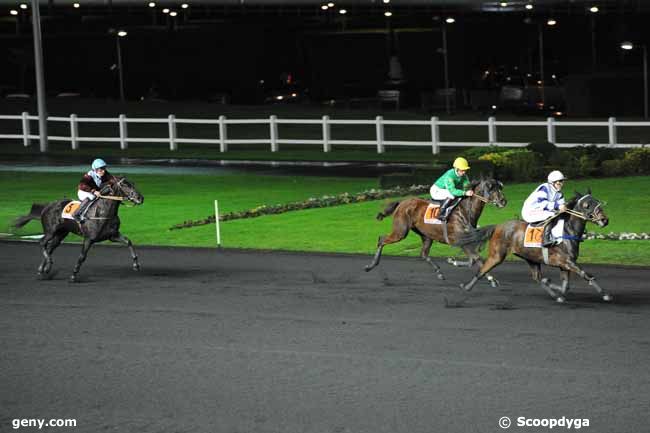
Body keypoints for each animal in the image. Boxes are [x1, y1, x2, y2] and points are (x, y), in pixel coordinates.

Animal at [12, 176, 144, 280]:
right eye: (125, 185)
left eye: (132, 184)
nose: (140, 198)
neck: (102, 212)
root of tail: (47, 206)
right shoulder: (89, 239)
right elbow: (82, 257)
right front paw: (73, 275)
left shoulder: (112, 235)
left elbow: (128, 242)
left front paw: (136, 265)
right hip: (50, 231)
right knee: (42, 243)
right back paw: (48, 265)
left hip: (60, 234)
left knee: (49, 247)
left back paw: (43, 269)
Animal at [364, 178, 506, 282]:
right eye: (491, 189)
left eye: (500, 188)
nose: (503, 201)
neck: (465, 211)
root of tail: (402, 202)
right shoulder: (458, 239)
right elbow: (476, 258)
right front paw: (491, 278)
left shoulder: (467, 241)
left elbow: (474, 259)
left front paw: (454, 261)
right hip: (400, 232)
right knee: (382, 239)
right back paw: (371, 265)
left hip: (426, 235)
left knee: (423, 254)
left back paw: (439, 272)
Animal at [454, 191, 612, 302]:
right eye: (587, 205)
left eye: (597, 202)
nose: (604, 220)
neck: (567, 231)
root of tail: (497, 226)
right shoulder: (566, 262)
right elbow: (586, 275)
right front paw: (605, 295)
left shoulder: (565, 264)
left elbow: (565, 285)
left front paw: (556, 289)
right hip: (497, 255)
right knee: (482, 270)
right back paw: (467, 286)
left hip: (531, 258)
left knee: (537, 278)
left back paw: (555, 294)